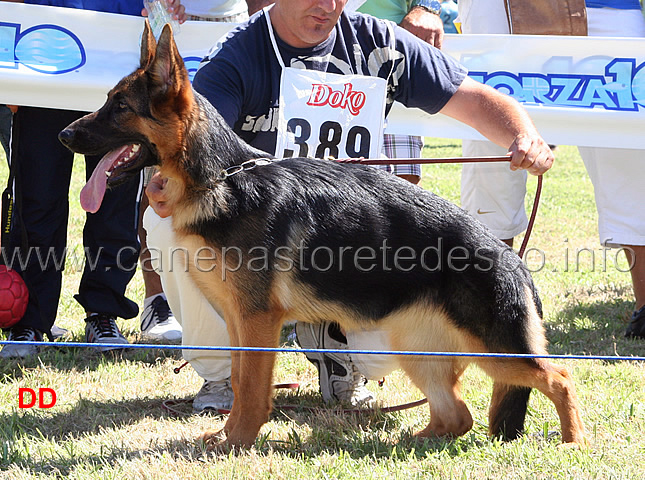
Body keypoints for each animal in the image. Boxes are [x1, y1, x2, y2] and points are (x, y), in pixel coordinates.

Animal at [59, 22, 584, 450]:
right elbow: (240, 379)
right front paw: (228, 435)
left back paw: (573, 442)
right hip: (419, 350)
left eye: (119, 107)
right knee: (458, 416)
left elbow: (252, 388)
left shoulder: (258, 322)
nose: (64, 136)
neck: (222, 179)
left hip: (493, 349)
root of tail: (512, 260)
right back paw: (412, 439)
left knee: (559, 376)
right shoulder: (240, 322)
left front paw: (238, 441)